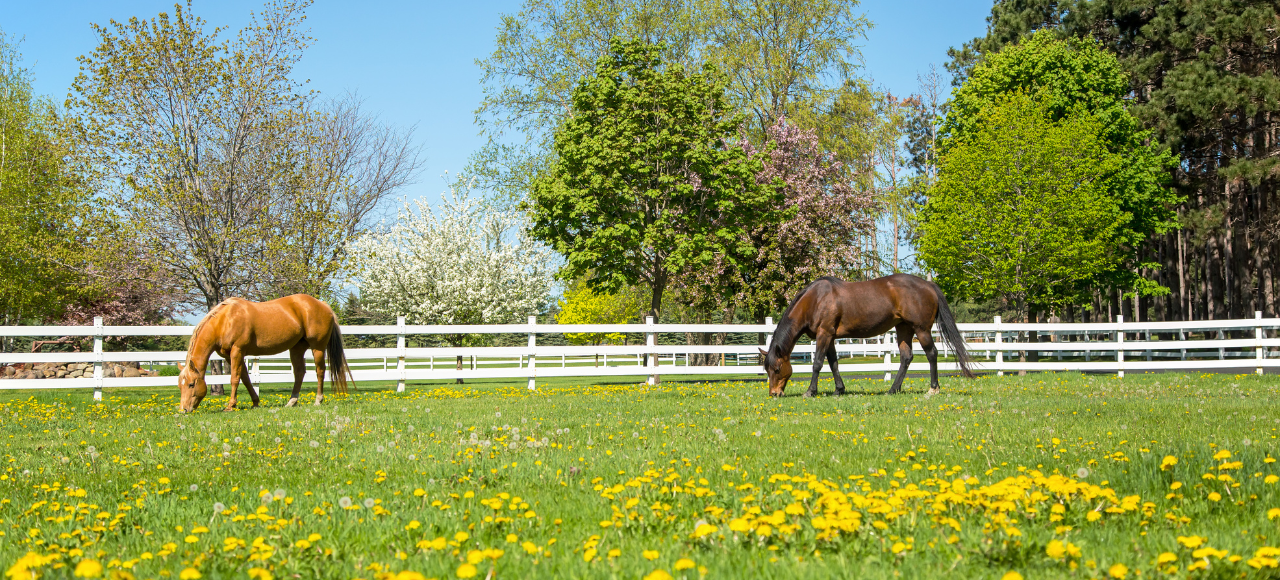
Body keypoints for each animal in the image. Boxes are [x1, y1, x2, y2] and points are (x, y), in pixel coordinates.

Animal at [177, 294, 353, 412]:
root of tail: (322, 304)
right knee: (299, 373)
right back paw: (292, 401)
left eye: (191, 384)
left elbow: (234, 378)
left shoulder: (237, 351)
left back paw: (318, 400)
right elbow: (245, 378)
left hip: (318, 348)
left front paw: (230, 405)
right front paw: (255, 402)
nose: (184, 410)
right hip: (296, 349)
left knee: (320, 371)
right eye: (180, 385)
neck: (225, 320)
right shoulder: (230, 355)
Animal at [752, 273, 972, 394]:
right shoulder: (830, 337)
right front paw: (839, 390)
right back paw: (893, 389)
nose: (774, 393)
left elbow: (818, 364)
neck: (815, 300)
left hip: (921, 329)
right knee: (906, 357)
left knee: (932, 354)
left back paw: (933, 388)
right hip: (903, 328)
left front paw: (811, 391)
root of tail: (929, 285)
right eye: (767, 370)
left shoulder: (824, 334)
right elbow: (833, 363)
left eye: (777, 369)